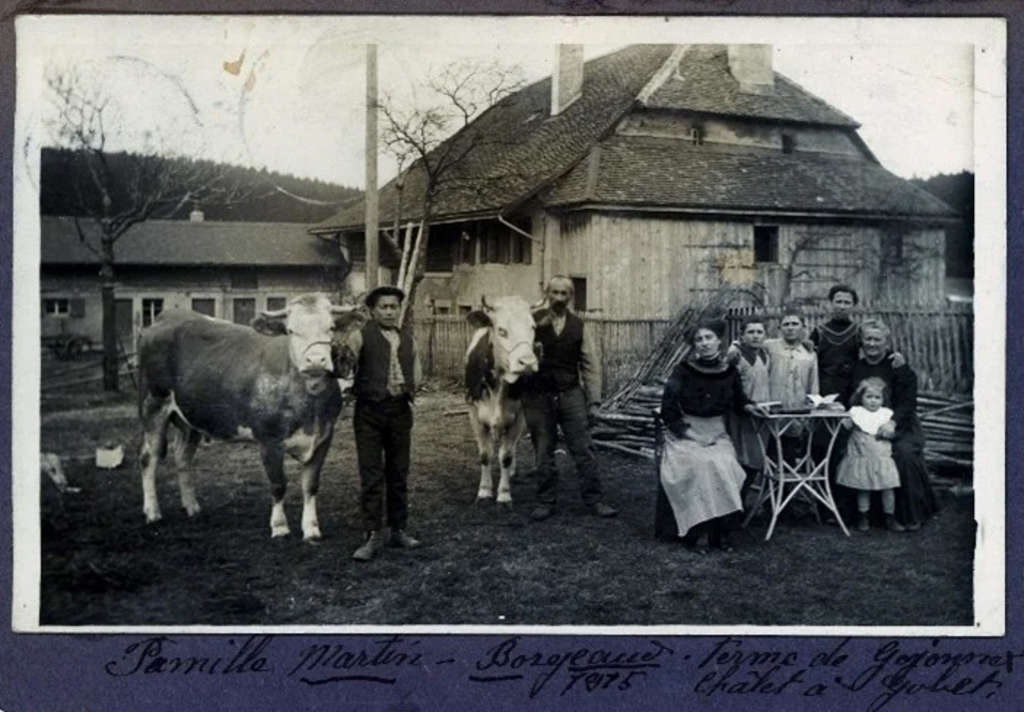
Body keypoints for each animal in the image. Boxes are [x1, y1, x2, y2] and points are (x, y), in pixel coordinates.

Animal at [137, 295, 364, 540]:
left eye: (330, 328)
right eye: (291, 330)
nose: (315, 360)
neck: (309, 405)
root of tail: (168, 315)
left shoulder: (324, 436)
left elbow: (311, 485)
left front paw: (311, 528)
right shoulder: (269, 439)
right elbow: (278, 484)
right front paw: (279, 526)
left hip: (190, 418)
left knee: (182, 456)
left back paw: (191, 506)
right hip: (153, 404)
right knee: (148, 457)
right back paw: (152, 512)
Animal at [466, 297, 540, 504]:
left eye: (532, 327)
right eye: (501, 330)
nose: (528, 362)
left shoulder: (518, 417)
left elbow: (505, 456)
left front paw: (504, 494)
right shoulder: (474, 415)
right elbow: (485, 455)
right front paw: (484, 490)